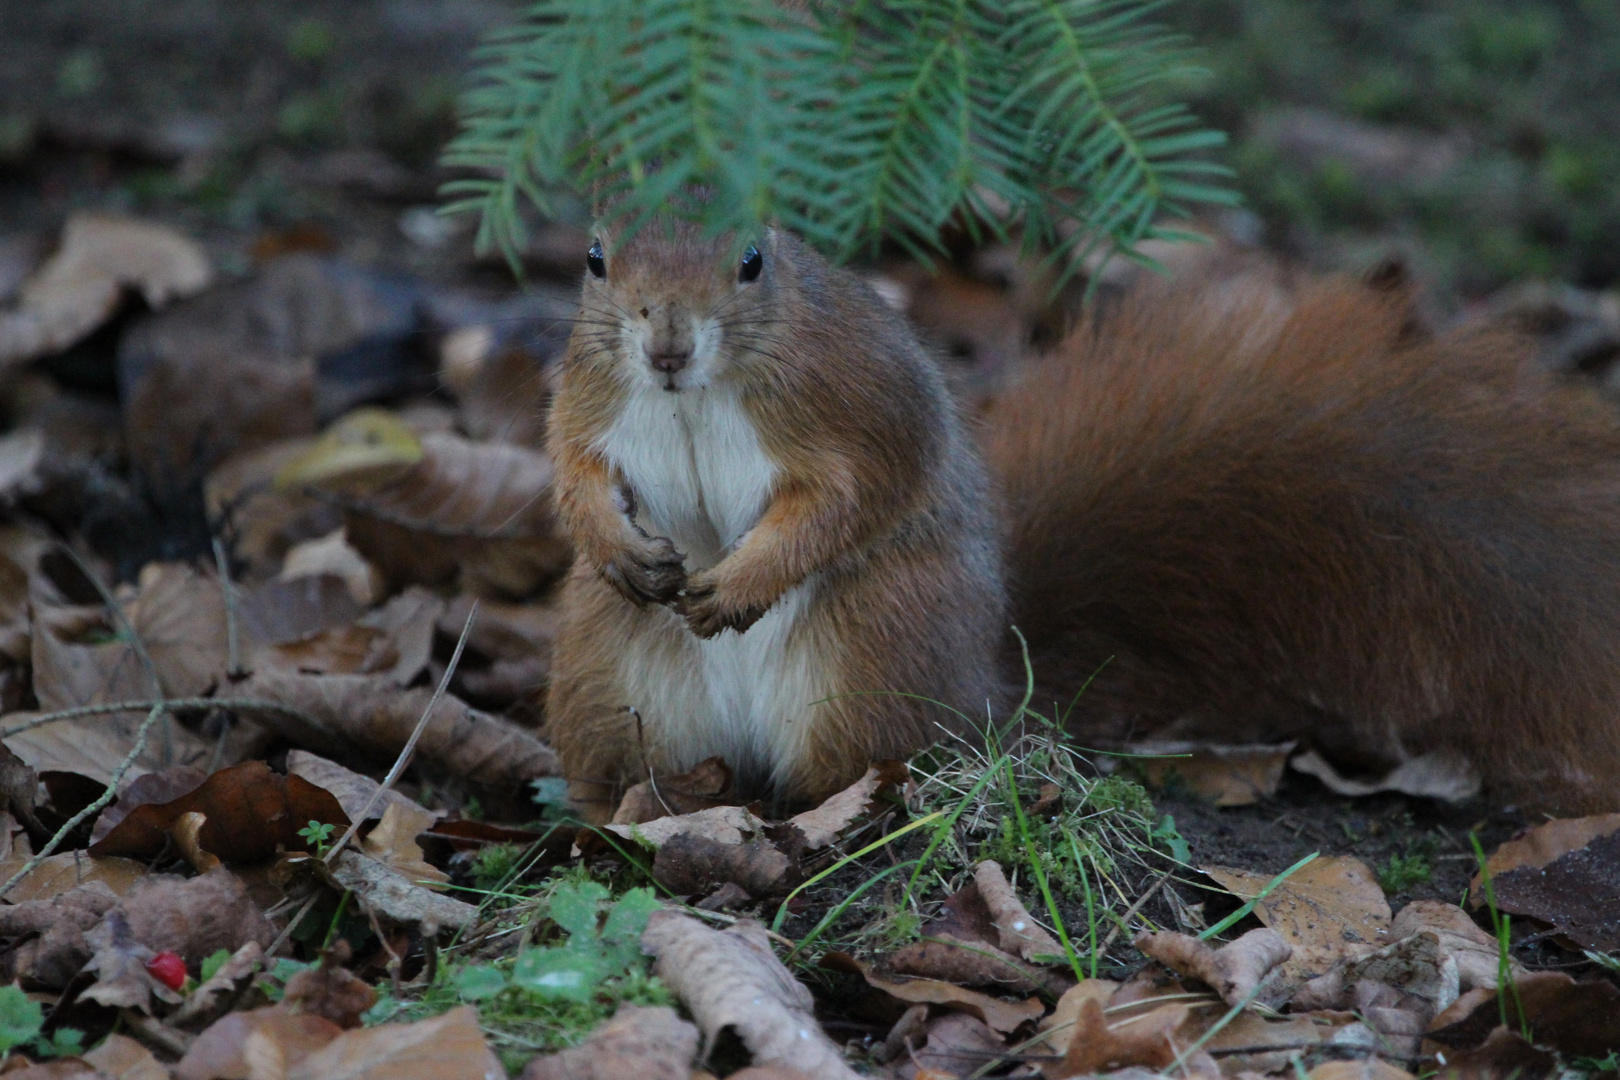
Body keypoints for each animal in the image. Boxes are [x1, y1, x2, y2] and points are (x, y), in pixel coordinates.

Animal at [544, 216, 1620, 819]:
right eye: (594, 258)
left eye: (752, 261)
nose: (667, 346)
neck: (693, 394)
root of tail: (992, 688)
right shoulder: (589, 404)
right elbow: (574, 468)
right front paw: (614, 540)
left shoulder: (853, 409)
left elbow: (840, 501)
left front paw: (742, 582)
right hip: (604, 669)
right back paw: (626, 810)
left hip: (876, 649)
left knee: (851, 767)